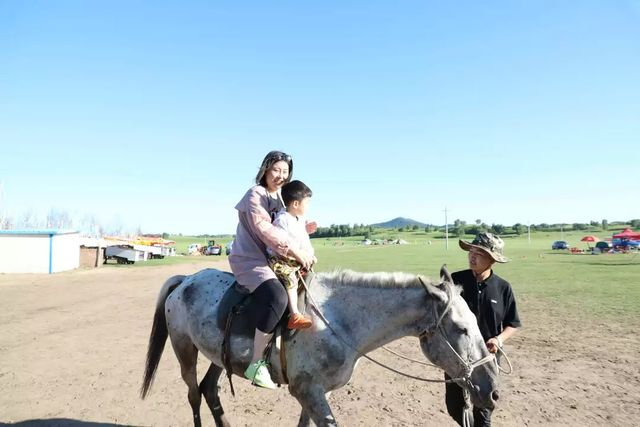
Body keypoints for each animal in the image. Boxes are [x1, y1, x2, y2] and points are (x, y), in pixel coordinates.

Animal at [141, 270, 500, 426]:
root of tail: (186, 279)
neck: (339, 322)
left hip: (218, 355)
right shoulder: (308, 392)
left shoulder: (313, 392)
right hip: (184, 349)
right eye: (462, 328)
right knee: (193, 392)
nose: (492, 390)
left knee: (209, 389)